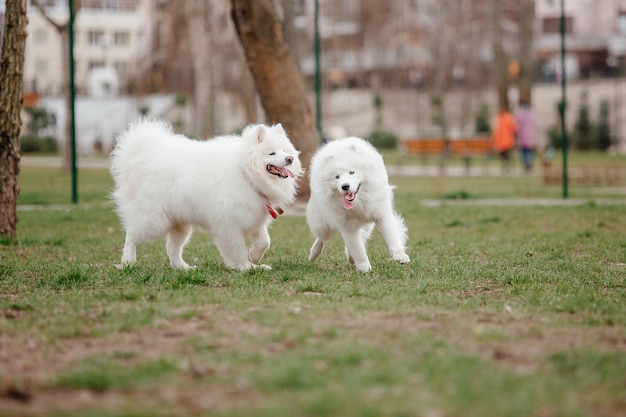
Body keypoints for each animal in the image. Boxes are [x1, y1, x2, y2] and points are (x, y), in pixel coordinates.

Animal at [109, 118, 302, 272]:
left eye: (285, 151)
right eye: (272, 153)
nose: (290, 159)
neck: (246, 173)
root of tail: (140, 155)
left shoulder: (253, 218)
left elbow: (264, 241)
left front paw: (255, 257)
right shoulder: (229, 225)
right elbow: (237, 250)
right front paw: (247, 267)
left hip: (179, 224)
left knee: (172, 249)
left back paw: (183, 267)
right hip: (154, 222)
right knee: (131, 236)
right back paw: (128, 261)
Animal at [304, 137, 410, 272]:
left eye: (352, 172)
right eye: (337, 177)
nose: (345, 186)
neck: (359, 202)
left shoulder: (381, 214)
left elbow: (392, 236)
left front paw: (400, 256)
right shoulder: (347, 226)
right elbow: (357, 249)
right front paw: (364, 267)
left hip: (367, 225)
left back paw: (350, 258)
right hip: (322, 223)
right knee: (322, 237)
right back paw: (314, 253)